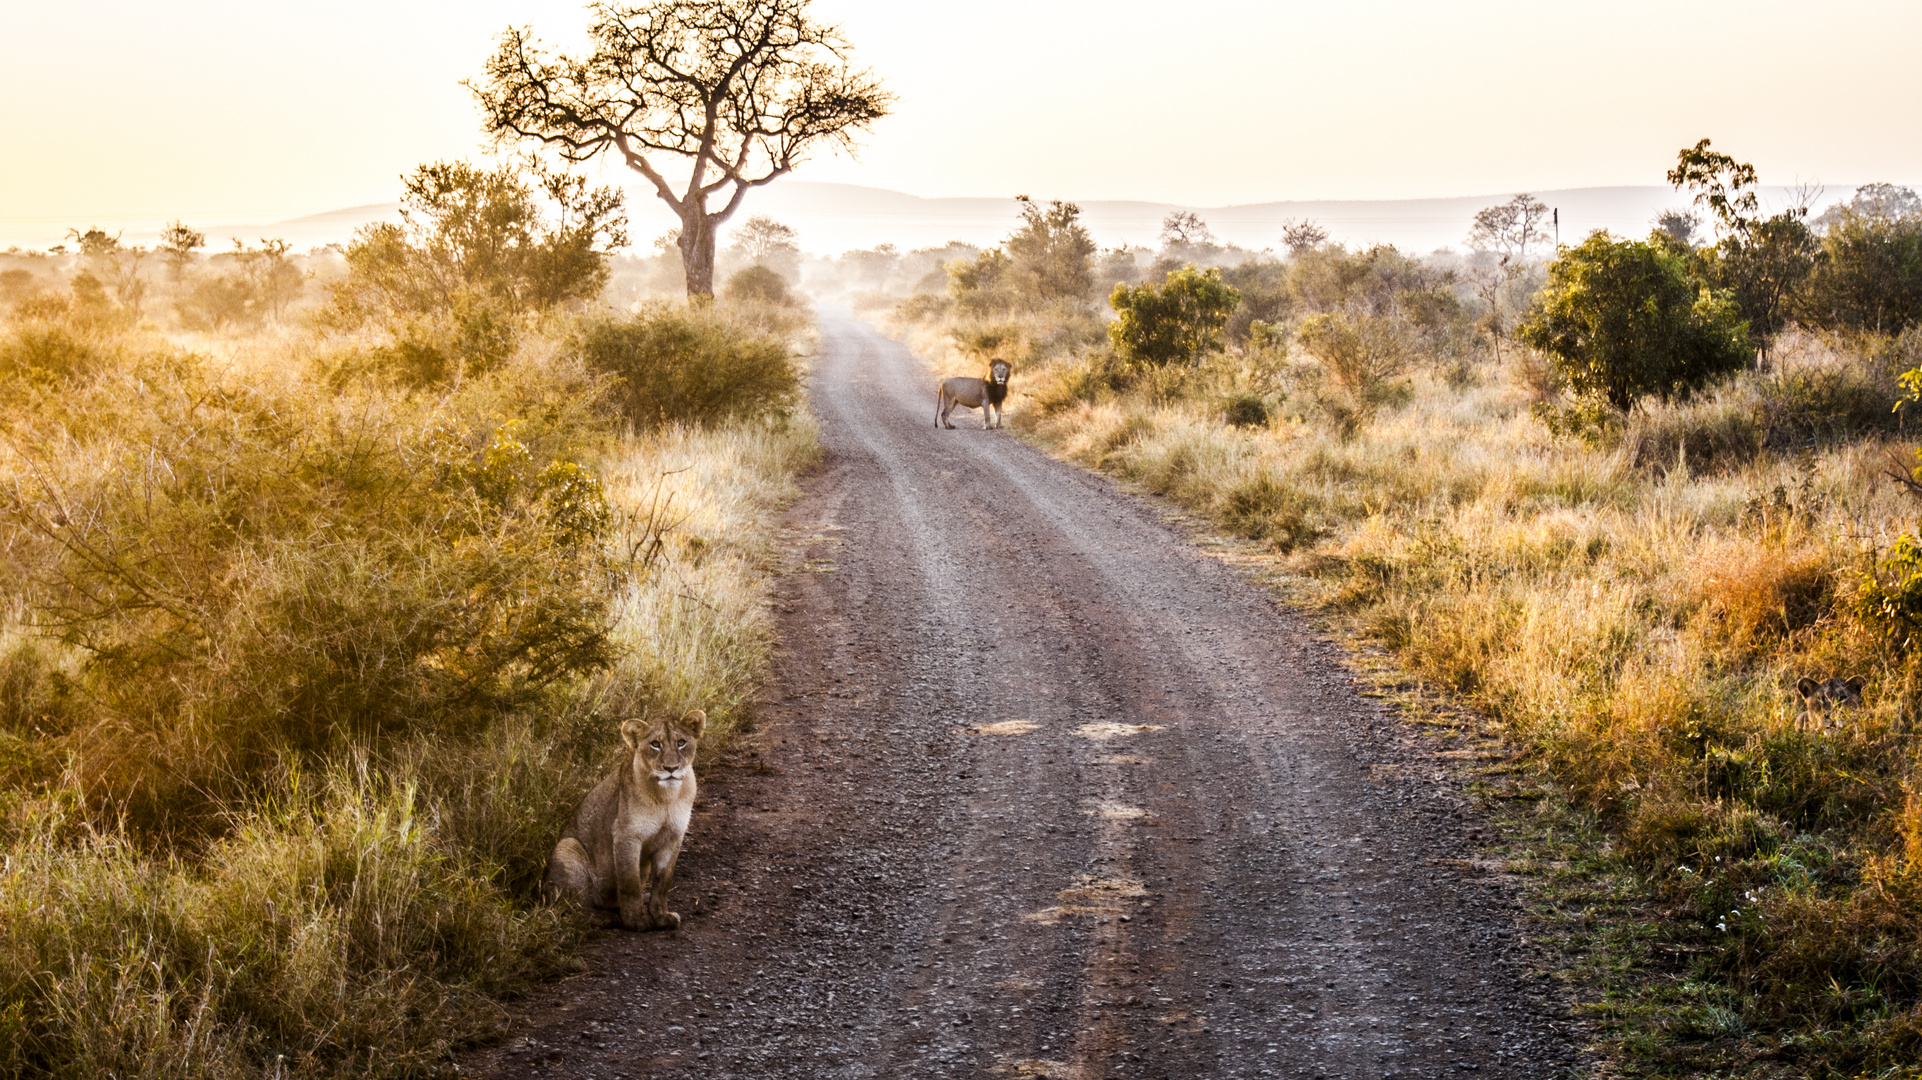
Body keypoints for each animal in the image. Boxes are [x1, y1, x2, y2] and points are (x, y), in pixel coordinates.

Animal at [545, 707, 703, 926]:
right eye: (655, 744)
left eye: (681, 742)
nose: (671, 768)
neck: (666, 797)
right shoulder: (625, 835)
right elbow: (630, 883)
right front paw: (636, 921)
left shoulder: (673, 837)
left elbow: (663, 883)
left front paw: (661, 916)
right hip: (567, 847)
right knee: (568, 909)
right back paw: (604, 917)